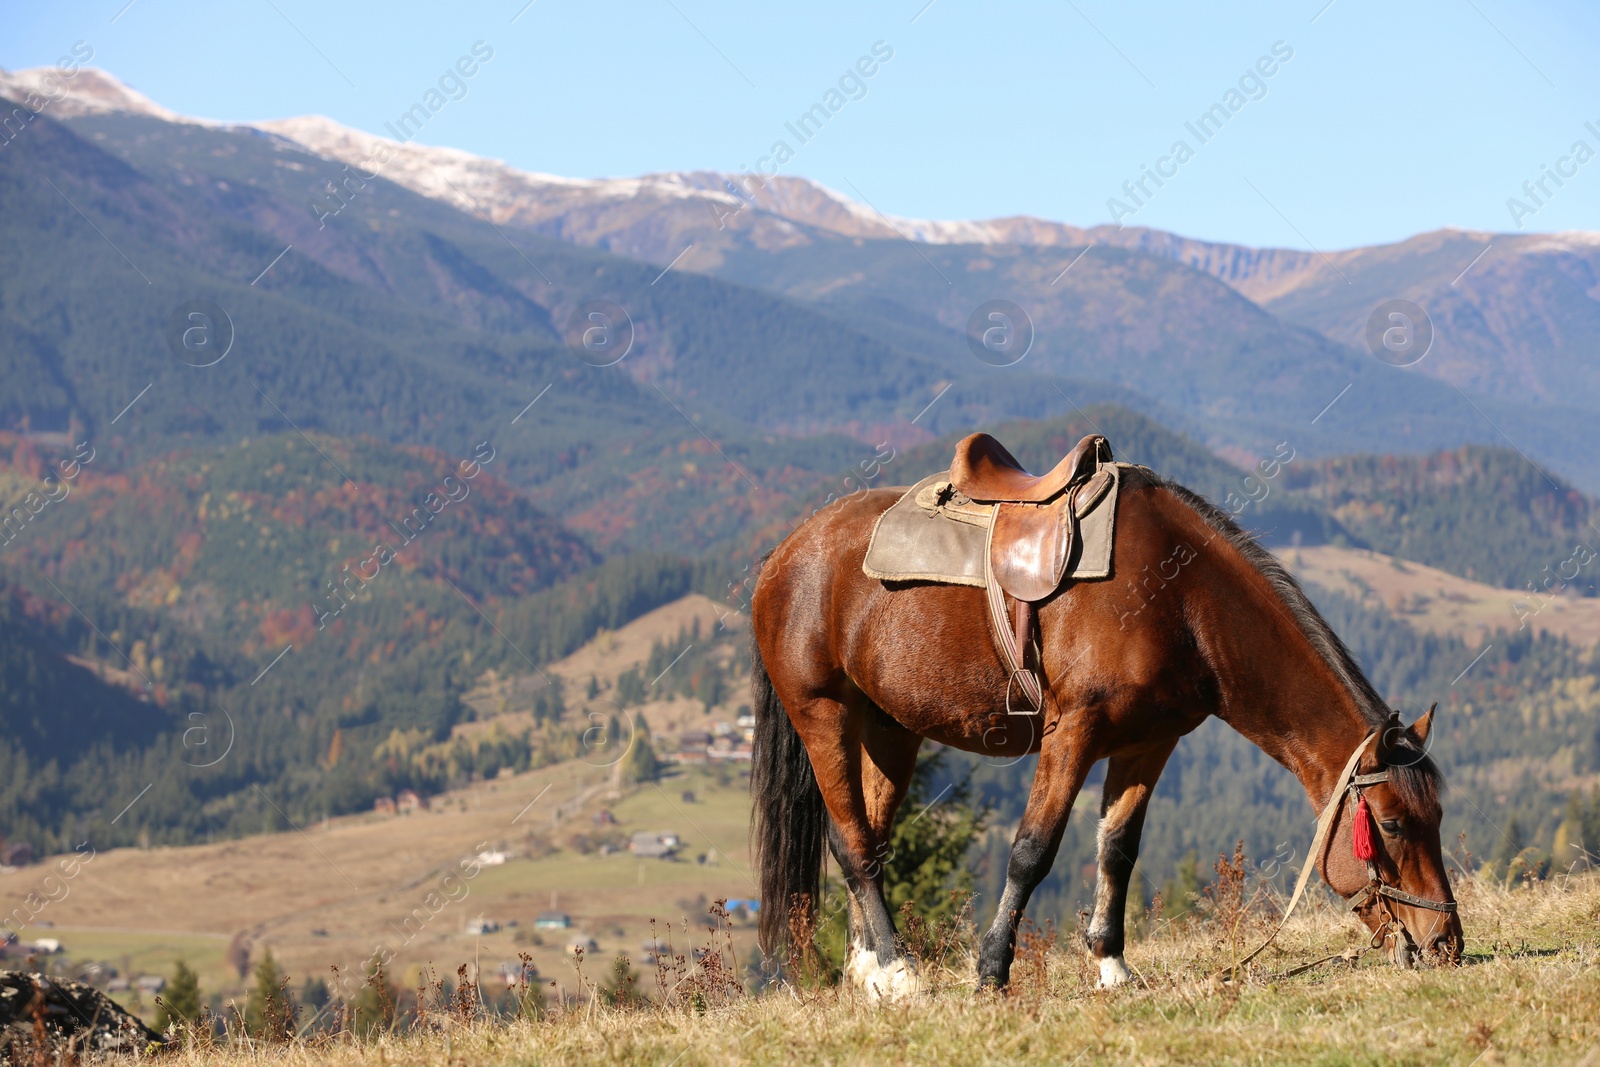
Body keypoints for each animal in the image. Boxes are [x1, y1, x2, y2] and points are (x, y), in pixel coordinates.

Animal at [748, 463, 1465, 998]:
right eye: (1392, 823)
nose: (1446, 944)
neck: (1181, 599)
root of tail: (785, 551)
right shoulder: (1074, 732)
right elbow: (1032, 850)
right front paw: (992, 971)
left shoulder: (1148, 743)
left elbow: (1117, 849)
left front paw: (1112, 964)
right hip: (822, 714)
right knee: (852, 844)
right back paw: (900, 970)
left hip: (890, 728)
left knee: (868, 839)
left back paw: (869, 971)